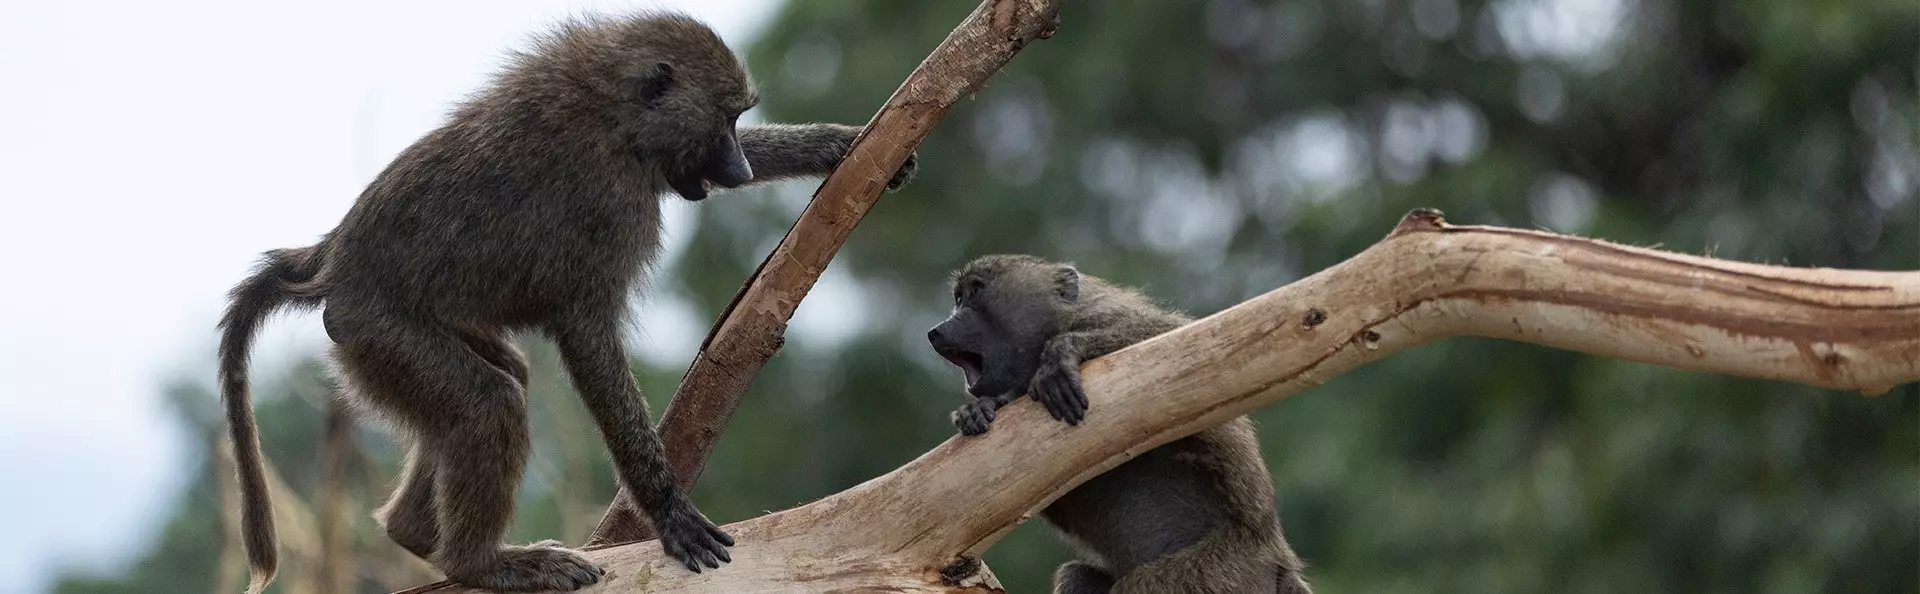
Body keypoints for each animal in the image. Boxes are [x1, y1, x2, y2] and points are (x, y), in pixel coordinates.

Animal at [216, 12, 916, 594]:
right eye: (725, 120)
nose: (740, 170)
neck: (611, 112)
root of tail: (333, 263)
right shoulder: (609, 203)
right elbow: (588, 339)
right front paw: (668, 510)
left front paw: (841, 143)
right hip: (374, 330)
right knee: (490, 402)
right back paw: (481, 564)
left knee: (505, 377)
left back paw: (414, 533)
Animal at [926, 255, 1310, 594]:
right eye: (958, 298)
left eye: (975, 292)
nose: (935, 331)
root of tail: (1276, 561)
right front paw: (980, 408)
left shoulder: (1112, 317)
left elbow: (1181, 342)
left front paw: (1061, 353)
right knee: (1076, 577)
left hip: (1220, 572)